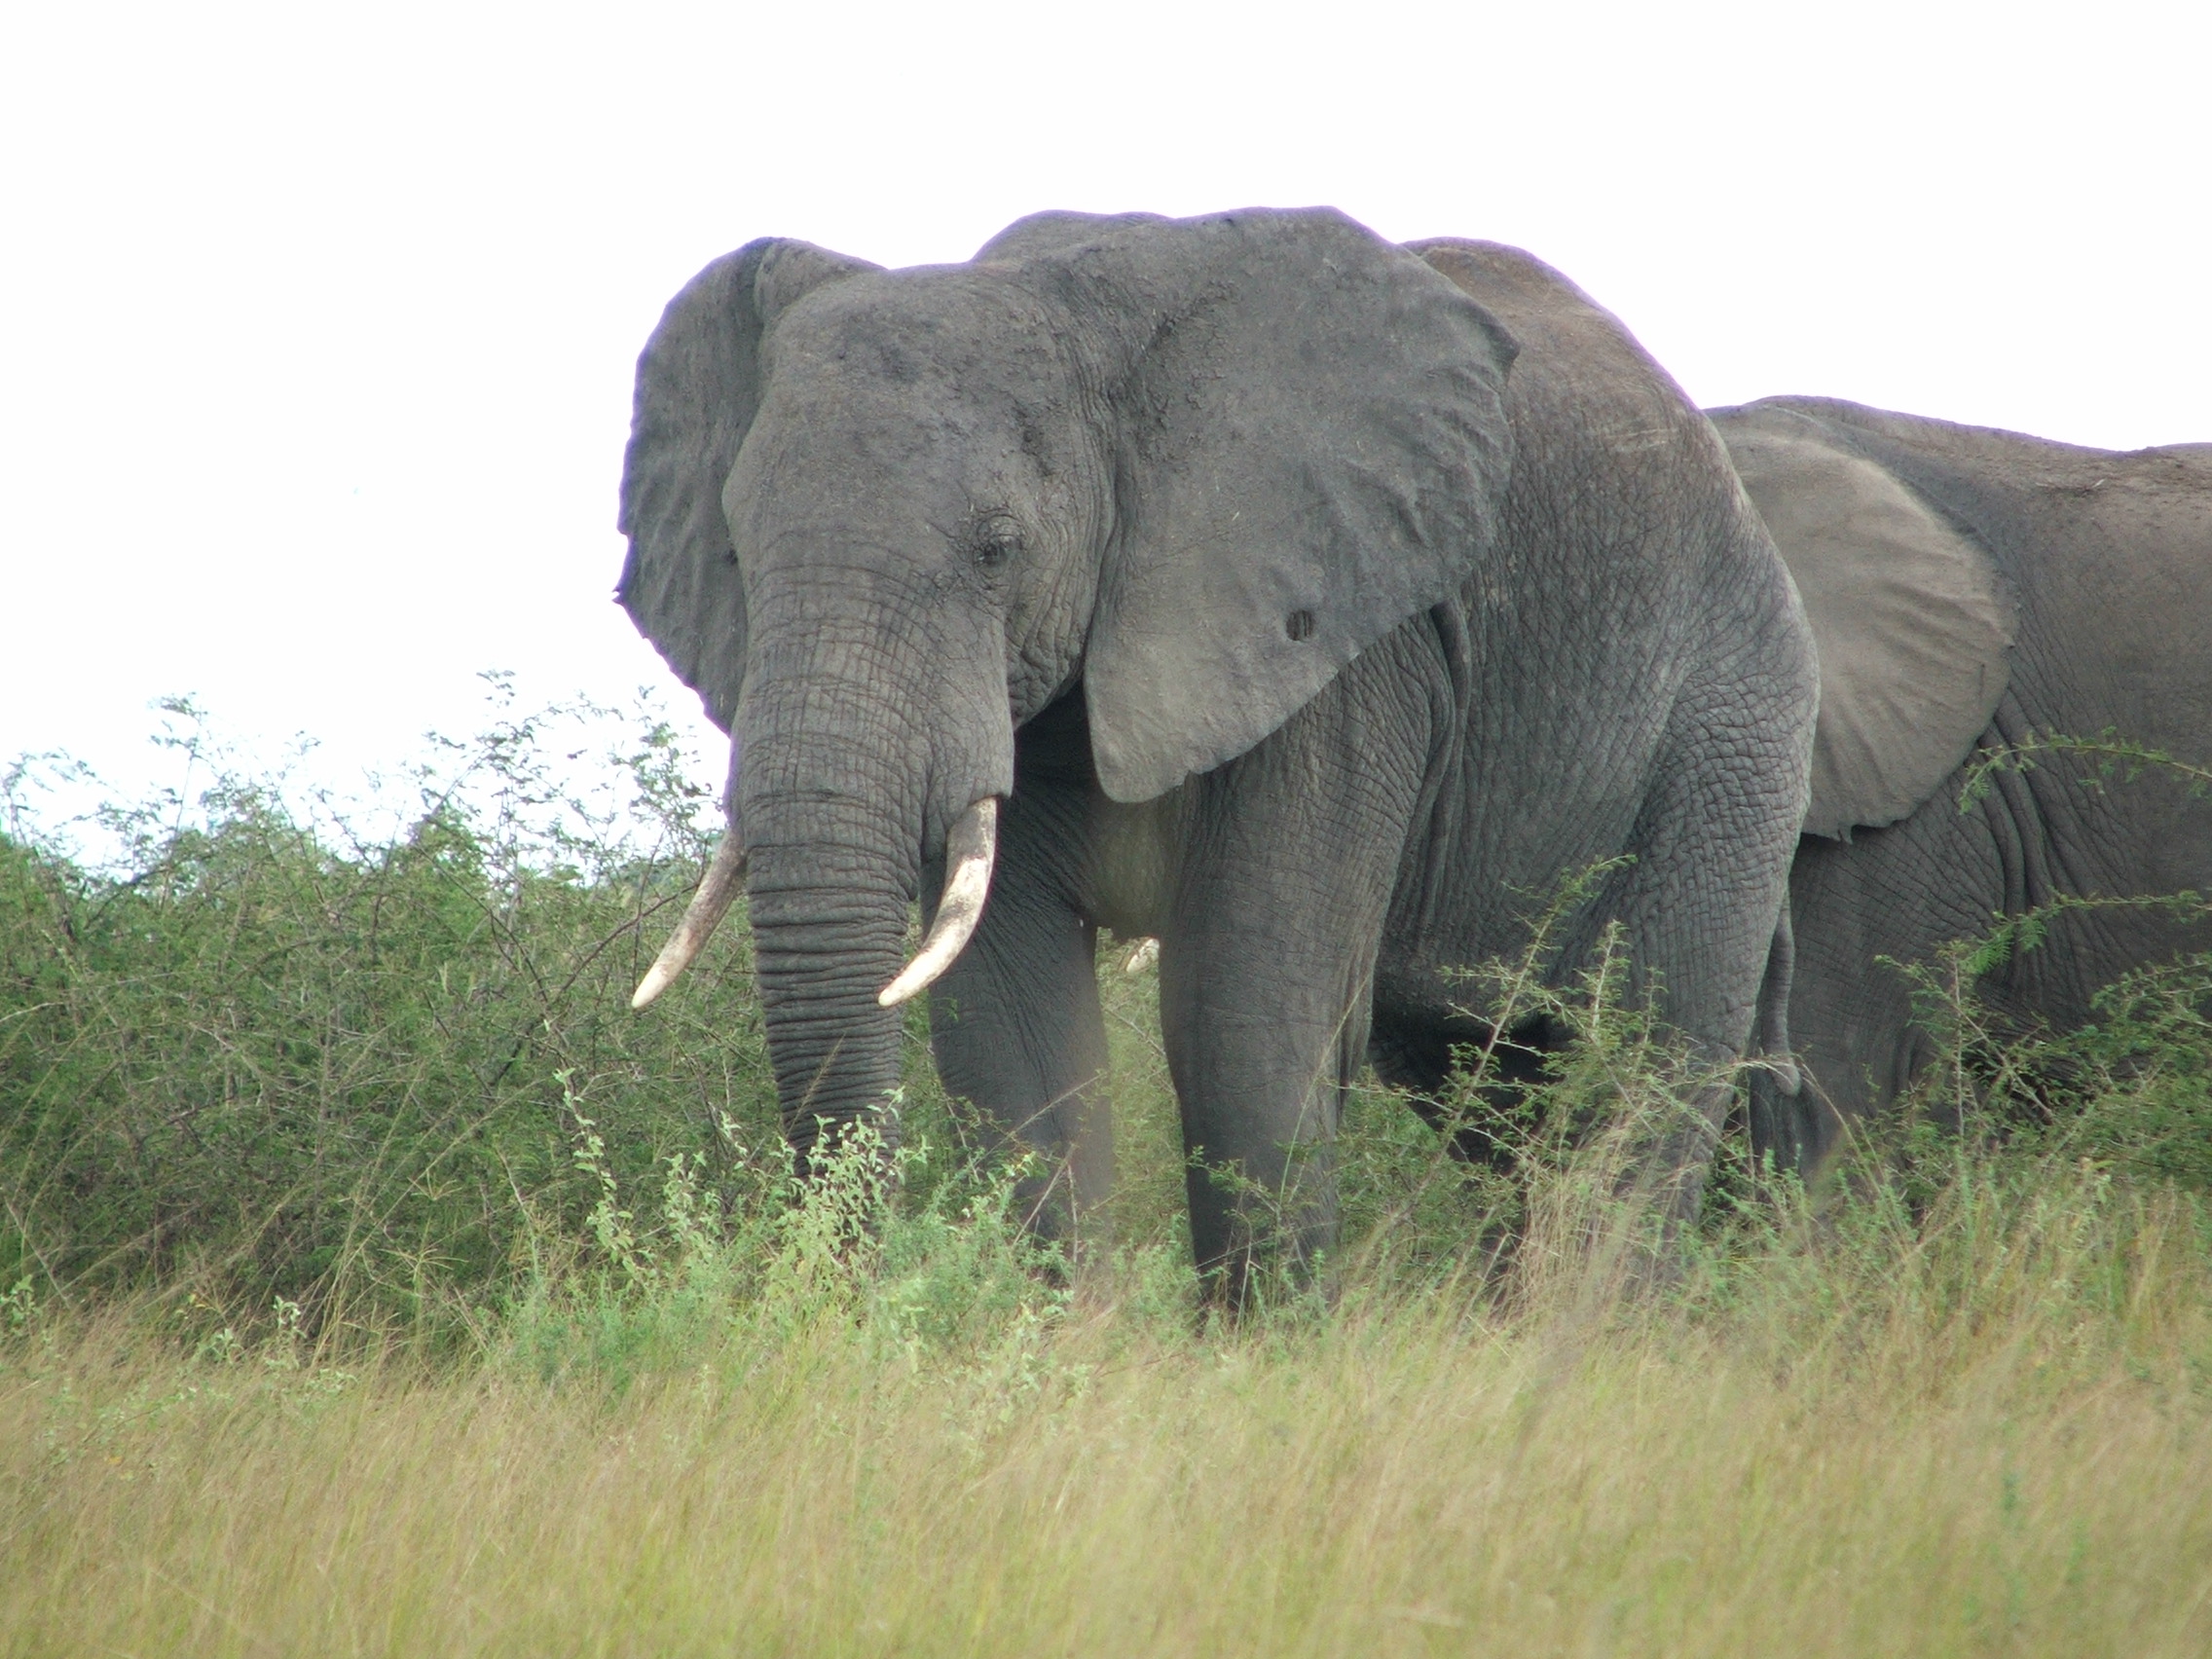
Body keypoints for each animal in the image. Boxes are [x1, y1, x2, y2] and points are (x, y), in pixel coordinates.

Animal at [610, 207, 1814, 1291]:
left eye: (999, 548)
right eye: (735, 553)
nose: (840, 1298)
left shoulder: (1339, 642)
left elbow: (1246, 1021)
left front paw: (1269, 1358)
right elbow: (1013, 1034)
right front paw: (1060, 1355)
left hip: (1733, 730)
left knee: (1647, 1061)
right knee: (1491, 1085)